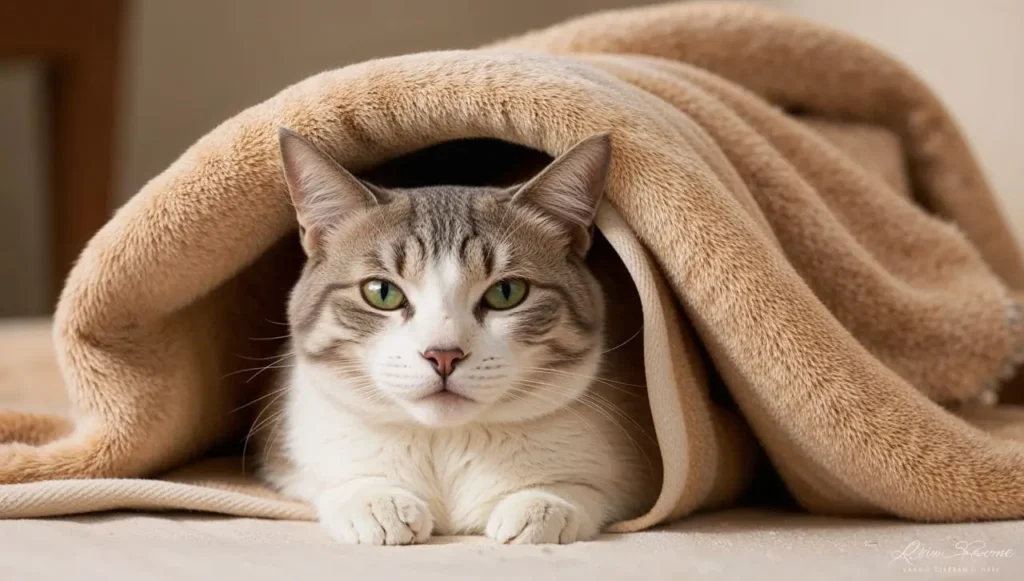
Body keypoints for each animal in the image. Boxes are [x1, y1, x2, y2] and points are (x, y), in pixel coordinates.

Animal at [253, 127, 655, 545]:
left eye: (506, 292)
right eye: (382, 292)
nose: (443, 355)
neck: (443, 443)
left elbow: (591, 490)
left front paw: (541, 503)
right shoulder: (288, 455)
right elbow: (328, 481)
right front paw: (375, 500)